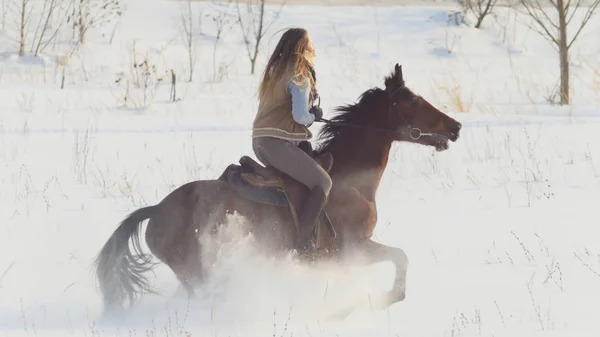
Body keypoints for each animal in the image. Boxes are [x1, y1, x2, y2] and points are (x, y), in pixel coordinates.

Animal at [92, 63, 464, 318]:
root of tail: (156, 210)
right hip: (196, 270)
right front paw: (355, 308)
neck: (352, 181)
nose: (456, 127)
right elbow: (400, 260)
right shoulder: (352, 249)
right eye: (412, 100)